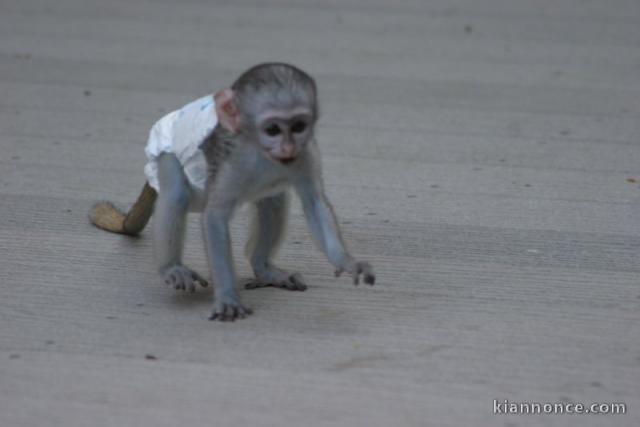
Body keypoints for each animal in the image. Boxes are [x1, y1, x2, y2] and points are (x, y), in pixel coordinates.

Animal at [87, 62, 372, 320]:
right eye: (273, 130)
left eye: (299, 126)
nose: (288, 147)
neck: (258, 150)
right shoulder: (234, 160)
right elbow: (215, 217)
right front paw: (227, 297)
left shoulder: (307, 153)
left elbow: (314, 202)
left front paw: (346, 261)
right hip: (165, 156)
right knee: (177, 192)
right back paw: (172, 267)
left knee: (273, 200)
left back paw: (263, 268)